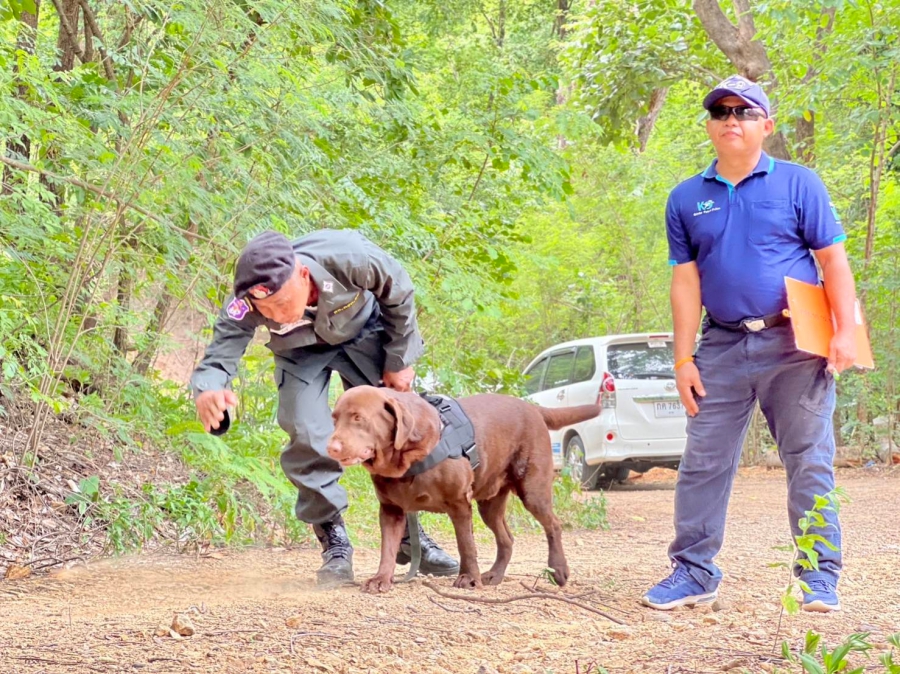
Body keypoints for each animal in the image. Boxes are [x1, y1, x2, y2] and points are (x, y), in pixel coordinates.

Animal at [326, 386, 600, 593]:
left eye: (358, 418)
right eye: (335, 419)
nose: (331, 447)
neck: (408, 457)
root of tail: (532, 407)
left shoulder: (459, 502)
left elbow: (465, 544)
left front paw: (468, 578)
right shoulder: (391, 510)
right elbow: (388, 548)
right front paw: (381, 578)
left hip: (533, 489)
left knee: (553, 524)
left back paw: (559, 570)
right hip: (490, 502)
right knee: (507, 538)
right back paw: (494, 575)